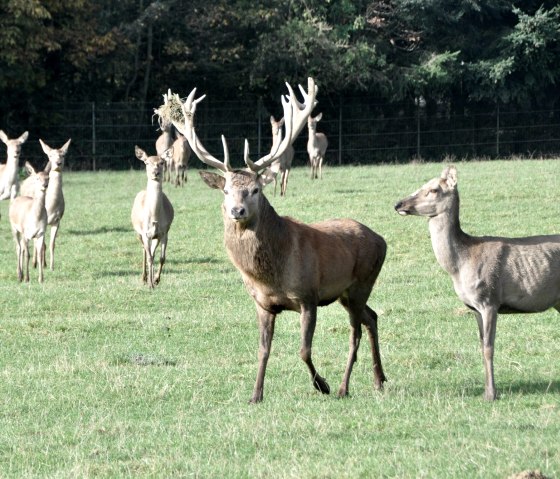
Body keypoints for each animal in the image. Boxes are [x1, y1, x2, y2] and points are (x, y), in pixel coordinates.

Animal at [21, 141, 70, 272]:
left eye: (63, 154)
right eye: (50, 155)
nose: (58, 163)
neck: (51, 207)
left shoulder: (57, 220)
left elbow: (52, 244)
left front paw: (51, 267)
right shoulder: (43, 222)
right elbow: (42, 245)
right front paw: (41, 264)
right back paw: (34, 263)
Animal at [131, 146, 175, 288]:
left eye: (162, 162)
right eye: (146, 162)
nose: (155, 173)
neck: (155, 217)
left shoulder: (164, 232)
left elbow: (162, 258)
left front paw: (156, 279)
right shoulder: (145, 233)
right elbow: (150, 258)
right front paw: (151, 284)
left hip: (156, 237)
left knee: (152, 252)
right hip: (138, 233)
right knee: (145, 252)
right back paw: (144, 278)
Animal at [155, 79, 388, 404]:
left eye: (255, 190)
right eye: (225, 190)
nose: (237, 211)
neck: (271, 274)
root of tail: (382, 240)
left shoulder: (308, 296)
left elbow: (303, 350)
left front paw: (322, 385)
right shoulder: (262, 304)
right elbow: (263, 350)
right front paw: (255, 395)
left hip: (361, 282)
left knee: (355, 331)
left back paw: (343, 387)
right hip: (347, 293)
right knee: (372, 317)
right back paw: (379, 380)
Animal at [394, 167, 560, 404]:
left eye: (433, 189)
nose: (399, 204)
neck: (459, 266)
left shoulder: (489, 300)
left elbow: (489, 348)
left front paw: (491, 394)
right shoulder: (473, 307)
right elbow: (481, 345)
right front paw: (486, 391)